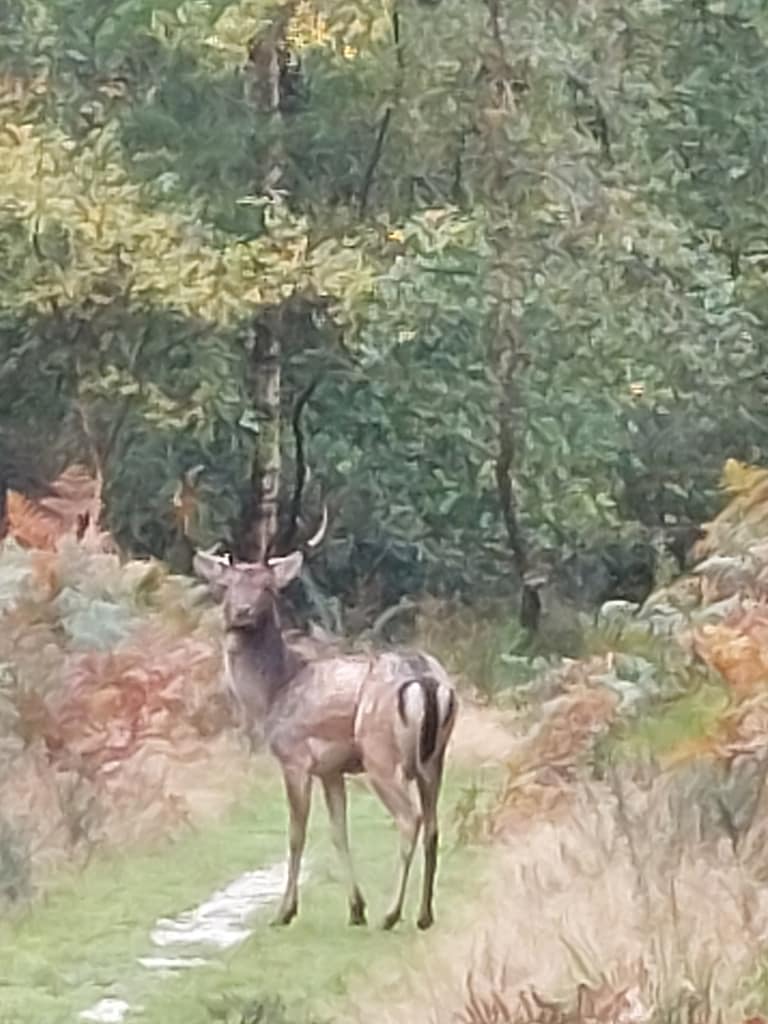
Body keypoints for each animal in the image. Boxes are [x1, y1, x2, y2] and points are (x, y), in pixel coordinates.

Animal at [193, 509, 458, 932]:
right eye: (227, 585)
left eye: (267, 587)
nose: (241, 614)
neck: (274, 693)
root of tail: (428, 681)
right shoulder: (332, 769)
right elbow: (338, 832)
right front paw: (355, 908)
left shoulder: (295, 757)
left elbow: (296, 834)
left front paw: (285, 911)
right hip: (436, 757)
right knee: (433, 824)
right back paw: (423, 915)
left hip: (381, 754)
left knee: (409, 818)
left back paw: (391, 913)